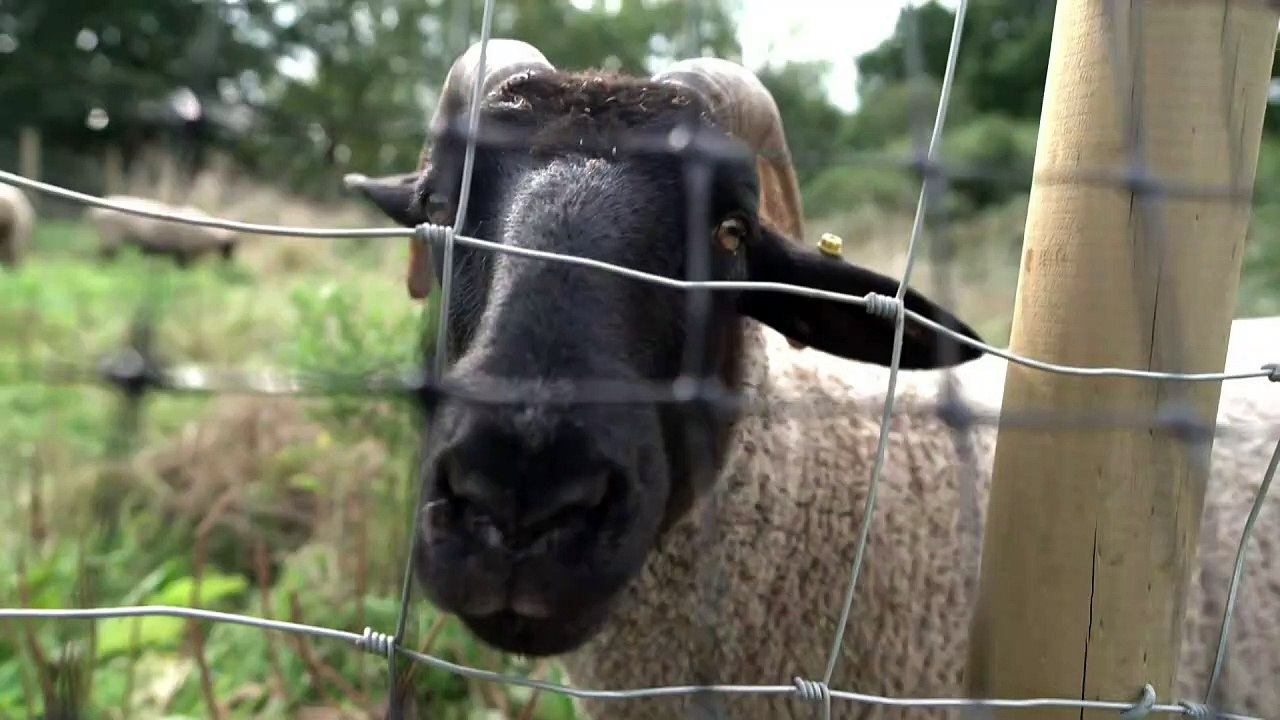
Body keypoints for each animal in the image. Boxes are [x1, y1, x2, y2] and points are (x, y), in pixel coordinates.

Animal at [86, 195, 238, 266]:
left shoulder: (181, 253)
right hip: (111, 238)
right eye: (230, 247)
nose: (230, 263)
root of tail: (94, 212)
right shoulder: (186, 254)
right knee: (106, 256)